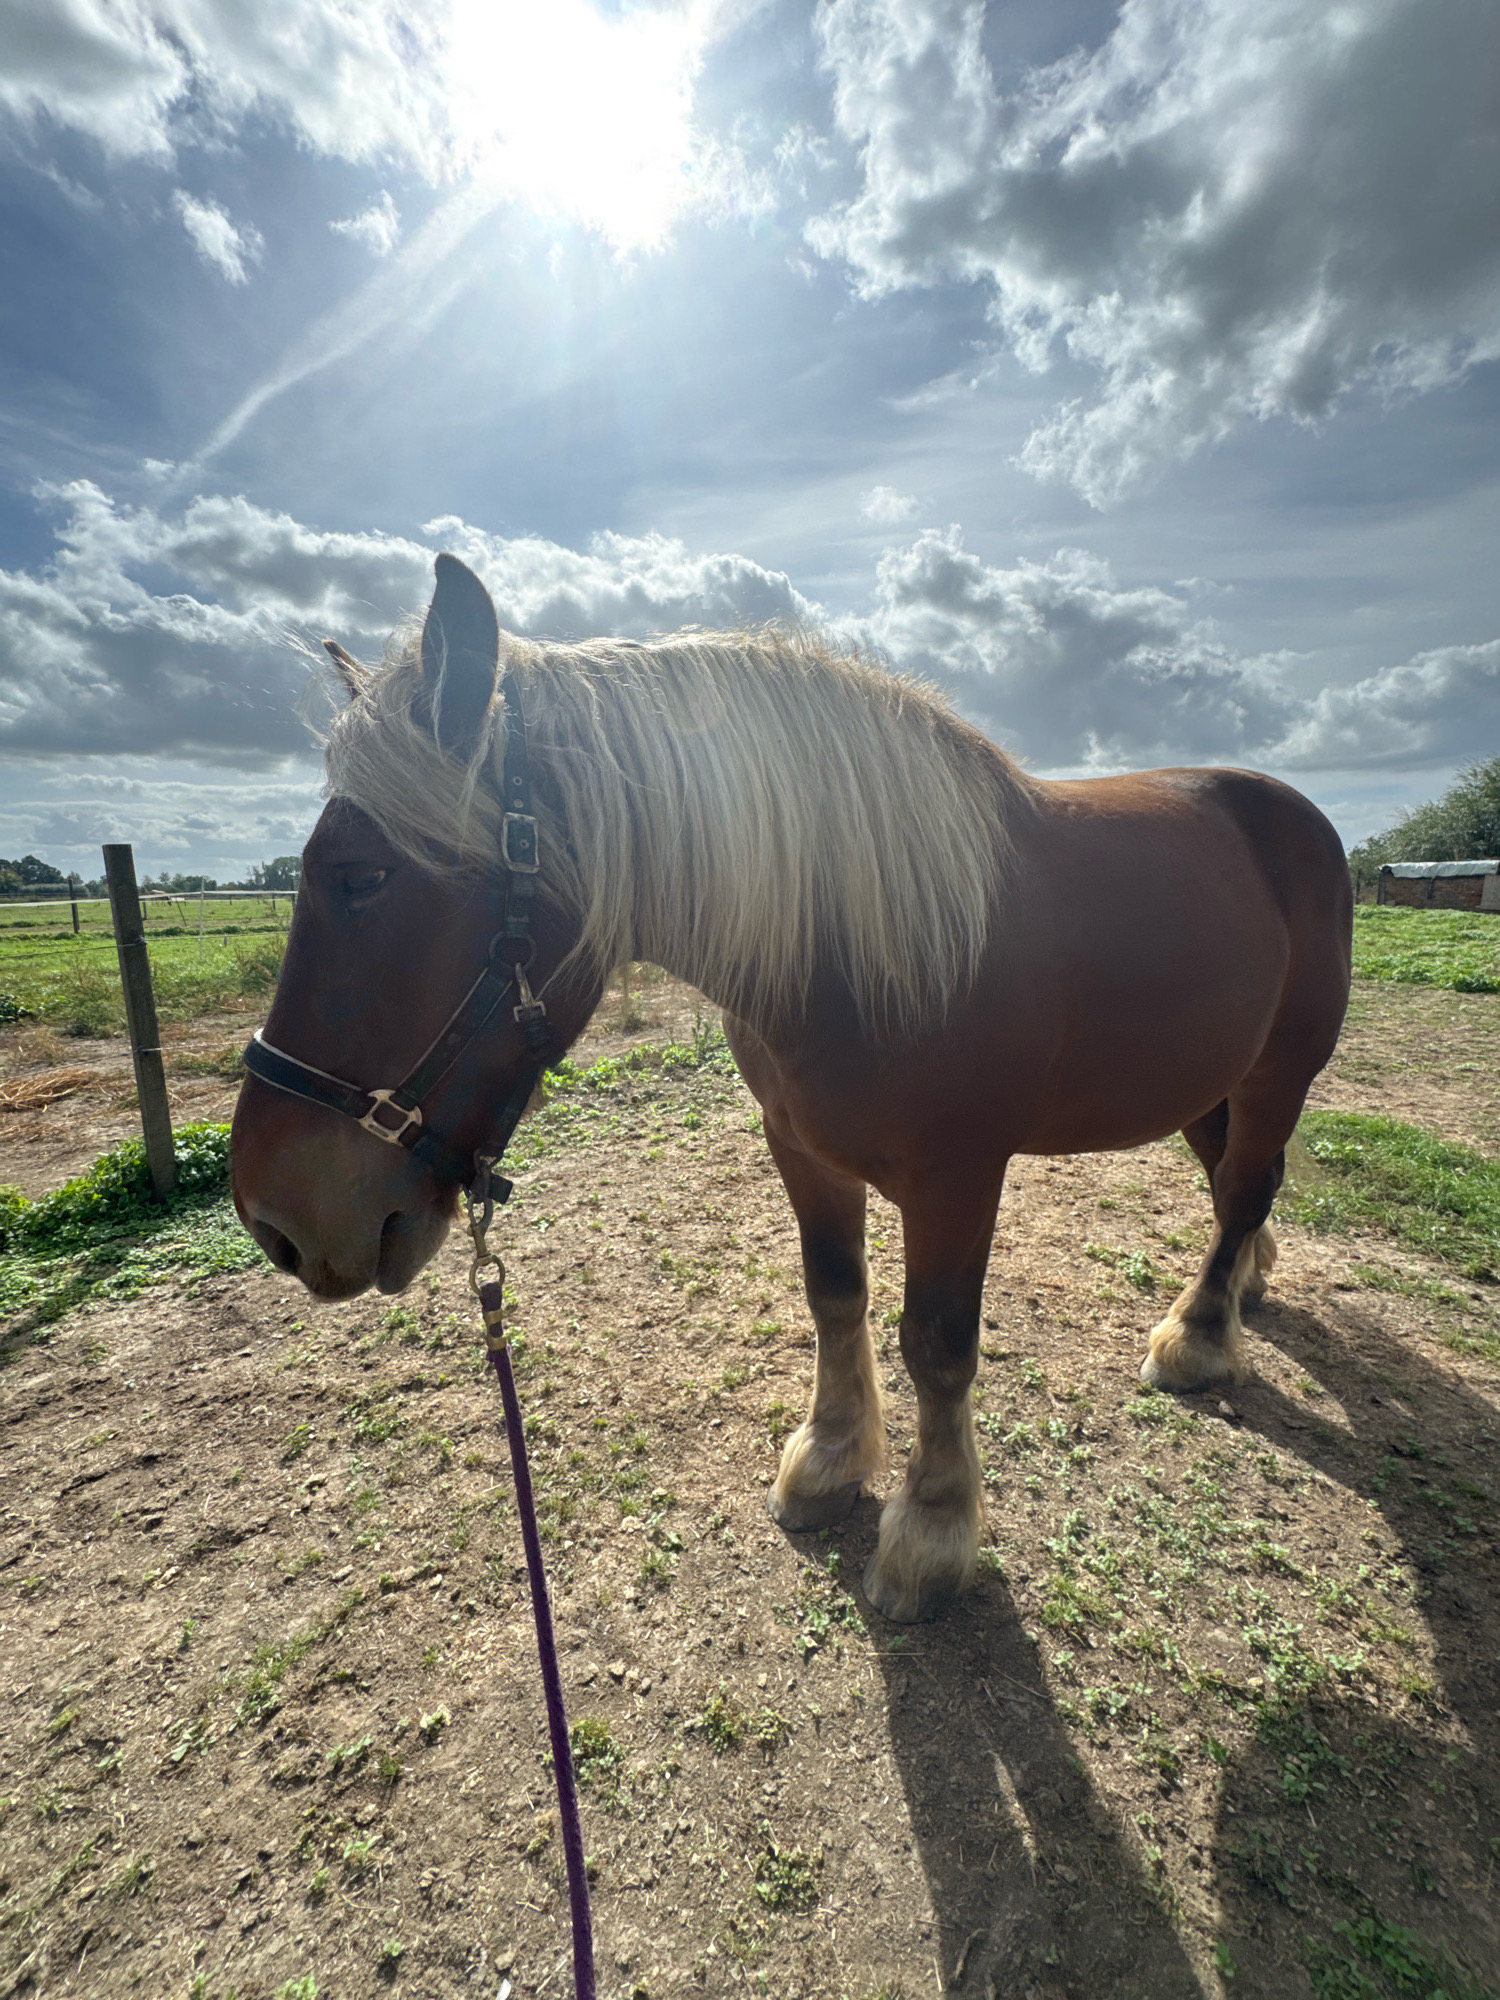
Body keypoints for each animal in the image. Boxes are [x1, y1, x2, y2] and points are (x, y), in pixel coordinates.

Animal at [231, 554, 1352, 1622]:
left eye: (364, 876)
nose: (277, 1216)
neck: (854, 938)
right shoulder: (801, 1148)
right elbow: (835, 1294)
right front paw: (828, 1463)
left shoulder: (959, 1179)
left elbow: (937, 1344)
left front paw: (929, 1534)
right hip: (1208, 1082)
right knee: (1234, 1187)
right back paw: (1243, 1288)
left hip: (1277, 1071)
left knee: (1244, 1185)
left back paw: (1199, 1335)